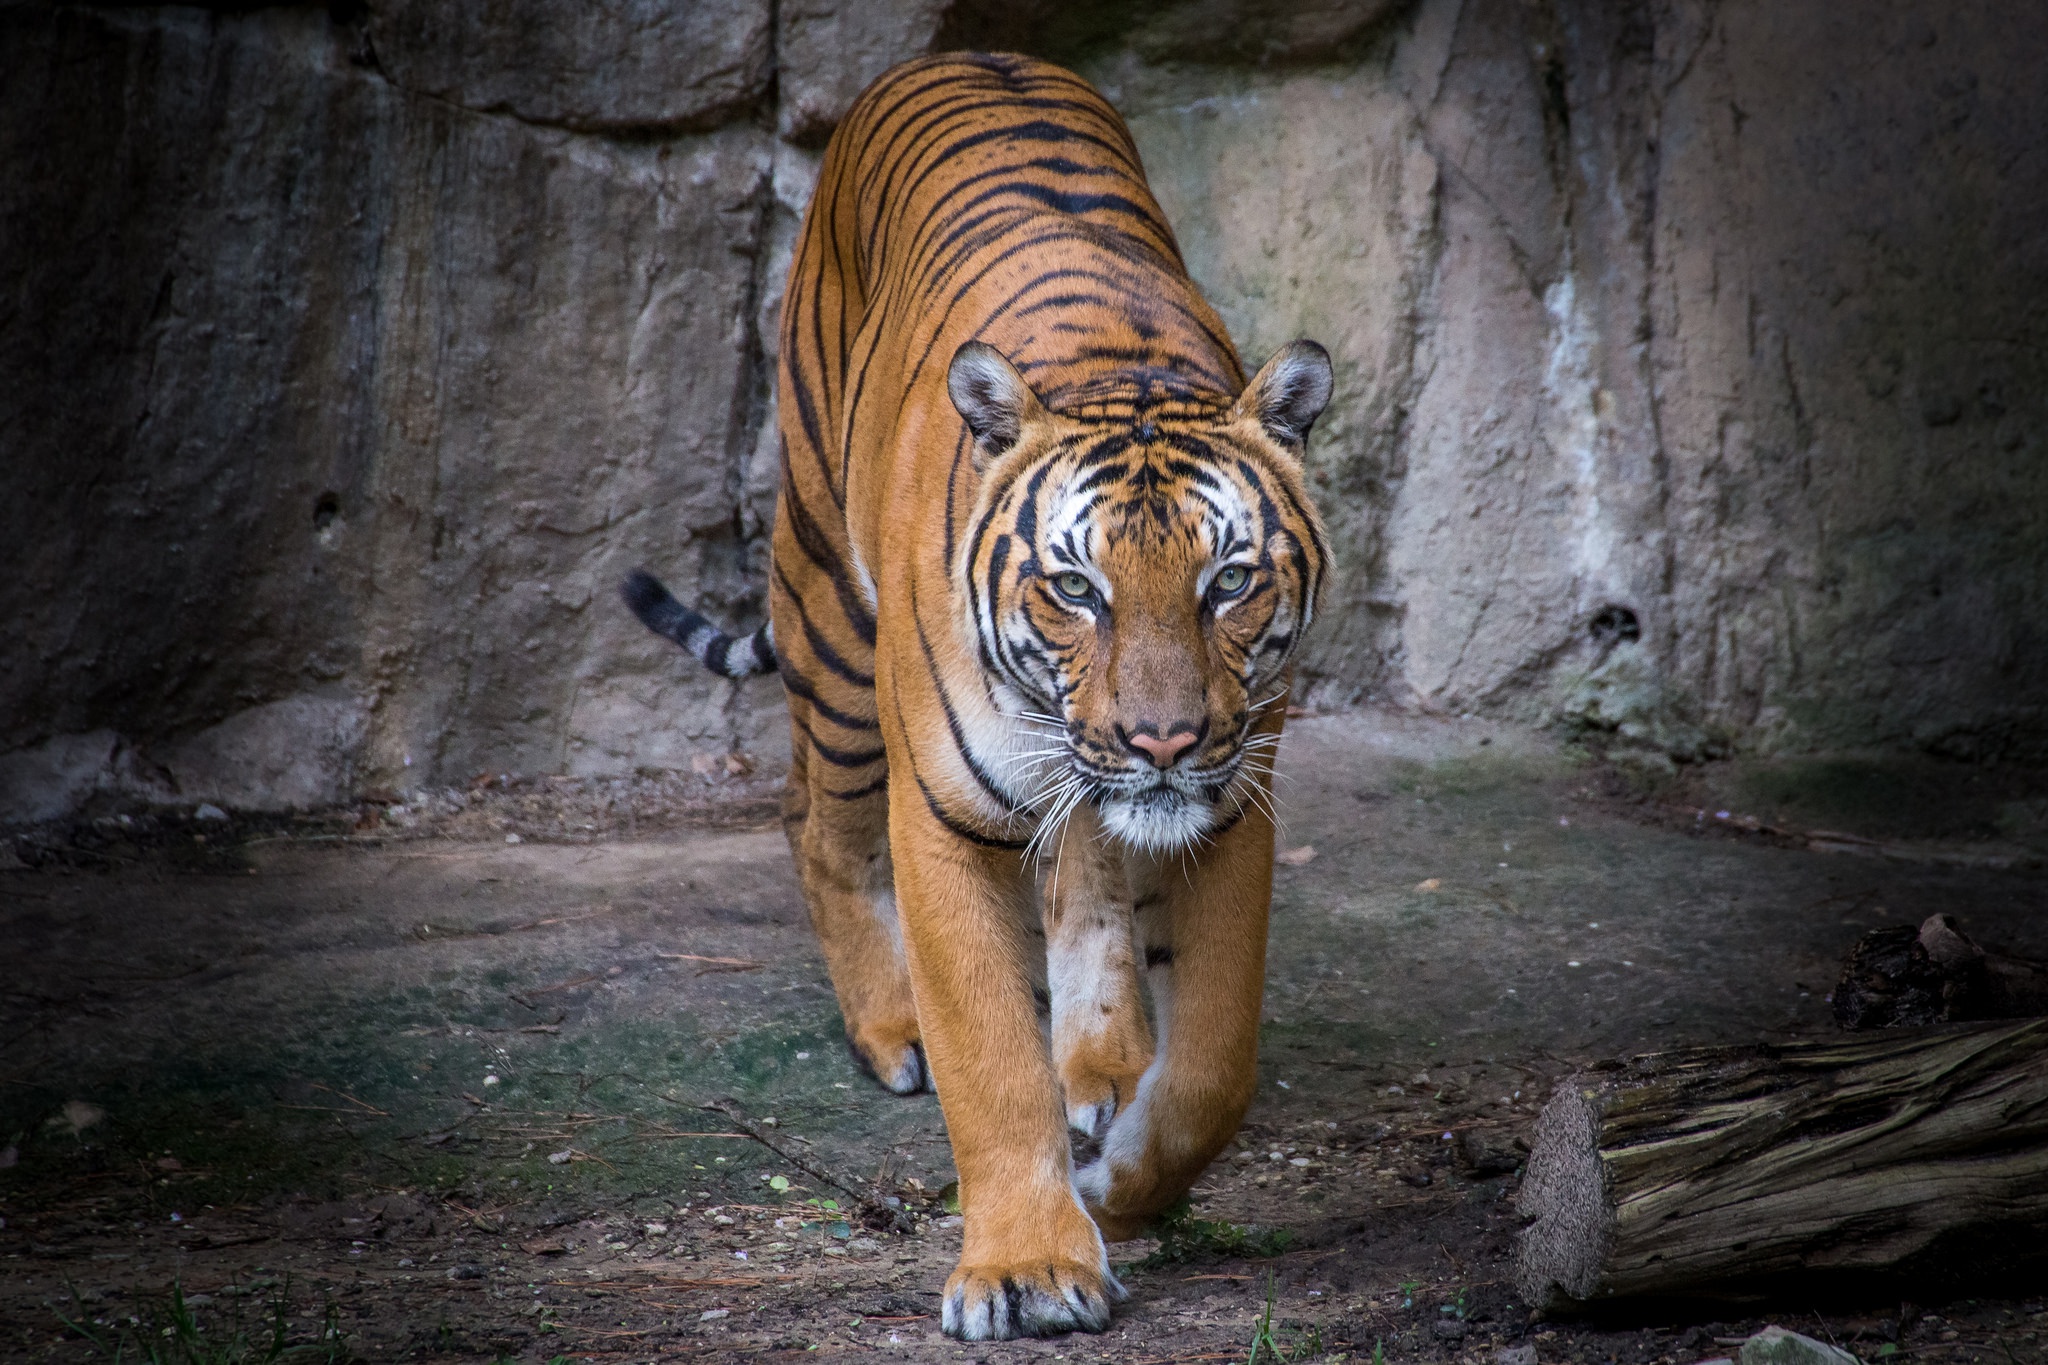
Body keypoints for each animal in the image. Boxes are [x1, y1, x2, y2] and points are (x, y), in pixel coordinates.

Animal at [622, 56, 1327, 1342]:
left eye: (1227, 581)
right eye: (1075, 587)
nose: (1160, 740)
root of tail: (952, 57)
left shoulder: (1229, 801)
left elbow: (1214, 1062)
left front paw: (1123, 1179)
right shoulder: (943, 815)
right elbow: (989, 1059)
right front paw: (1028, 1266)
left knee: (1085, 866)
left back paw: (1102, 1063)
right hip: (827, 619)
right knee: (812, 819)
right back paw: (892, 1028)